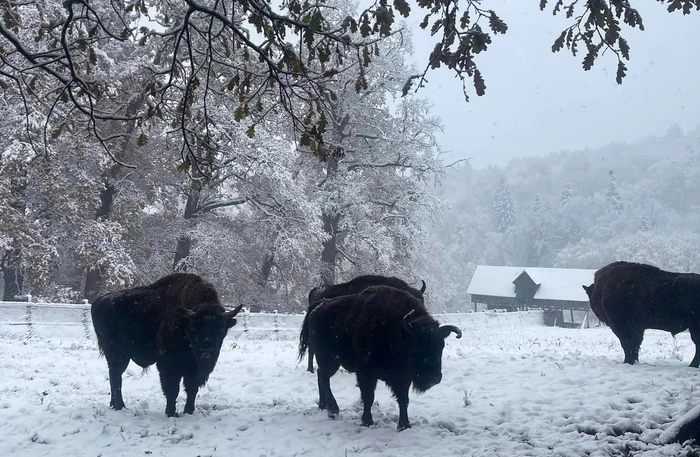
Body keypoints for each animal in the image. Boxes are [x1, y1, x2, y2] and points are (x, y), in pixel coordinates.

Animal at [90, 270, 243, 416]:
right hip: (117, 354)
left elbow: (191, 389)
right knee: (116, 378)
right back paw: (120, 406)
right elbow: (172, 390)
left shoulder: (195, 369)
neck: (184, 323)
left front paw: (189, 411)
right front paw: (171, 413)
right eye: (194, 328)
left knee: (113, 376)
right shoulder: (168, 364)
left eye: (221, 329)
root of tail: (98, 302)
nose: (206, 349)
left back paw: (113, 404)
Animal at [298, 284, 462, 430]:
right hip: (329, 359)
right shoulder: (366, 373)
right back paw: (333, 410)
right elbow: (368, 397)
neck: (400, 332)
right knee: (324, 377)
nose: (434, 378)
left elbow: (404, 399)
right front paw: (367, 422)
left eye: (441, 346)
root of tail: (318, 306)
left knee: (321, 376)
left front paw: (404, 425)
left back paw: (323, 405)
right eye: (418, 347)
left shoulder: (403, 378)